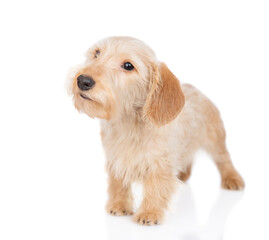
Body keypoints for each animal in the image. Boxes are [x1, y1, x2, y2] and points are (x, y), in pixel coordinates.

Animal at [67, 36, 243, 226]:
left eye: (128, 65)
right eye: (96, 53)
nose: (83, 80)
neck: (129, 123)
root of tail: (199, 91)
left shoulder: (160, 164)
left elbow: (156, 187)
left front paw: (149, 212)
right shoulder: (114, 158)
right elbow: (117, 182)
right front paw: (119, 204)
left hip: (215, 141)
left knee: (224, 160)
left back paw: (232, 179)